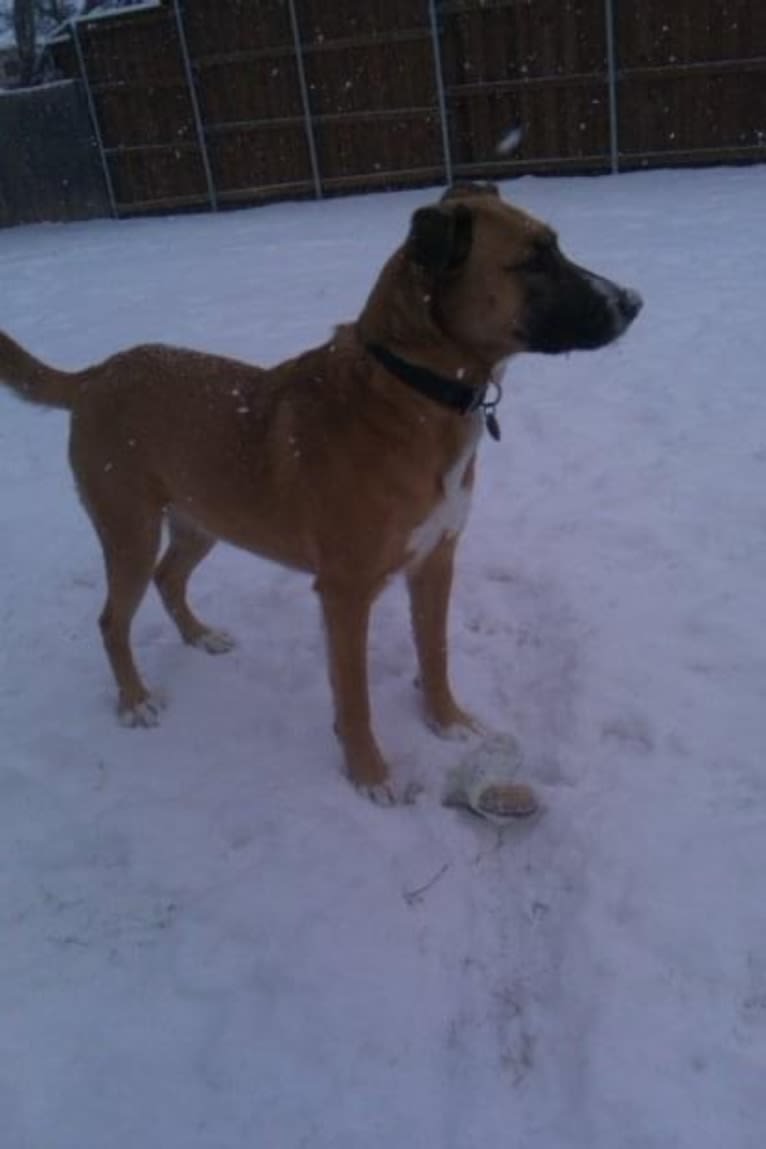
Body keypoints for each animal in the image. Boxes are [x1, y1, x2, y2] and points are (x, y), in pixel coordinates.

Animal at [0, 186, 643, 799]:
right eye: (533, 260)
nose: (635, 302)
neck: (413, 389)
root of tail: (95, 374)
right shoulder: (345, 593)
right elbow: (354, 697)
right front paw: (369, 775)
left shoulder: (435, 563)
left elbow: (435, 655)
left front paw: (446, 721)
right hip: (129, 531)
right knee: (112, 619)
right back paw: (134, 701)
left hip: (203, 519)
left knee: (169, 578)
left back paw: (199, 636)